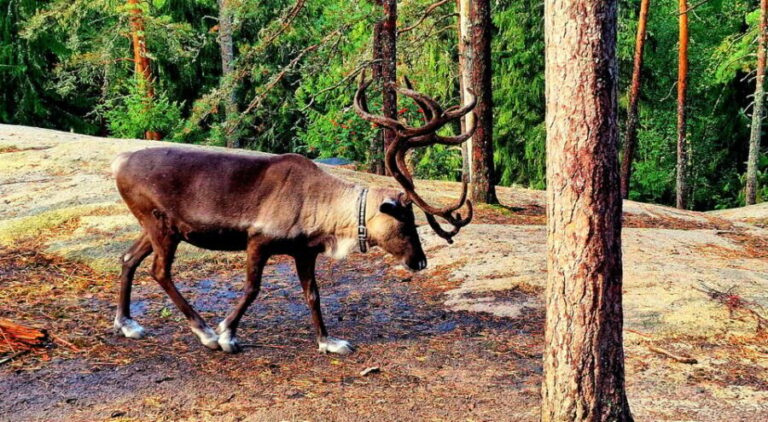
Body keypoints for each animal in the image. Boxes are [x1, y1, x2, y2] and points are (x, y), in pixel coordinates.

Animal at [111, 73, 475, 355]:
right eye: (405, 221)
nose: (420, 262)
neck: (324, 209)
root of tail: (119, 162)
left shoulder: (304, 251)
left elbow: (313, 295)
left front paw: (329, 342)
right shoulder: (257, 240)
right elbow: (252, 288)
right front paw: (227, 333)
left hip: (152, 226)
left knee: (128, 258)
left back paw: (128, 324)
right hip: (163, 226)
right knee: (159, 271)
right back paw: (205, 333)